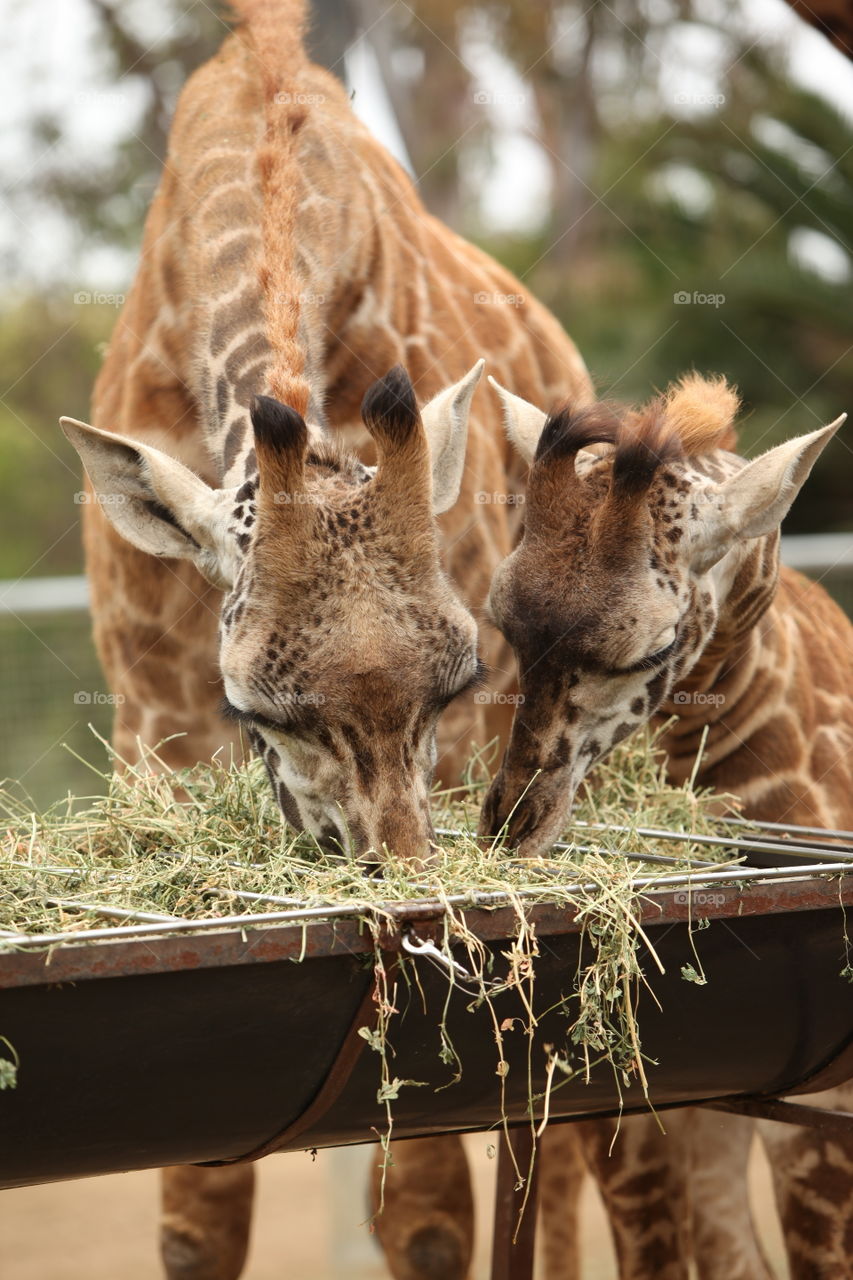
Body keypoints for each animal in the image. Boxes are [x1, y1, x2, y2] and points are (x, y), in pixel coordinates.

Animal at [63, 2, 594, 1269]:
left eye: (452, 682)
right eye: (261, 708)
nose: (403, 888)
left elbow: (432, 1212)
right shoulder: (154, 717)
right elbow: (198, 1215)